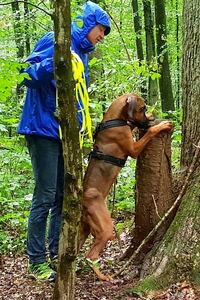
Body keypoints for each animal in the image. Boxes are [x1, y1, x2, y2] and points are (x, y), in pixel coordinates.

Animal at [79, 93, 173, 282]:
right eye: (142, 108)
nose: (148, 120)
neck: (114, 119)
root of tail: (83, 202)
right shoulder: (134, 149)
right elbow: (150, 132)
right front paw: (161, 125)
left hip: (83, 230)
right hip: (106, 228)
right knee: (90, 256)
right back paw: (103, 276)